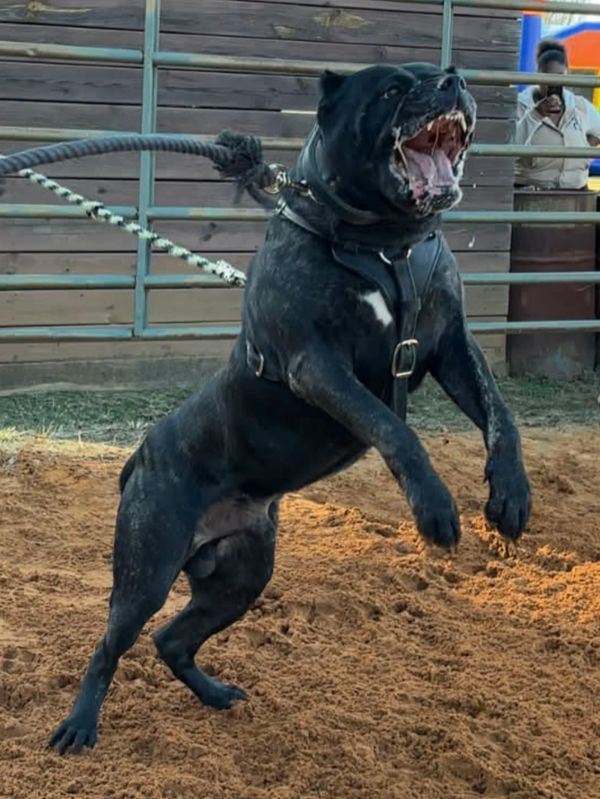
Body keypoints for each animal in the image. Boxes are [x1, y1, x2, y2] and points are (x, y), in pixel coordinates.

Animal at [50, 63, 531, 754]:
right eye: (391, 90)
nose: (452, 78)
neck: (386, 246)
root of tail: (139, 456)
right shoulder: (317, 364)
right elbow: (394, 428)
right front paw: (435, 509)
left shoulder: (451, 348)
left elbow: (501, 418)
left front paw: (511, 496)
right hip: (146, 569)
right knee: (111, 645)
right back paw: (79, 726)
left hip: (243, 575)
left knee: (172, 640)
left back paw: (216, 695)